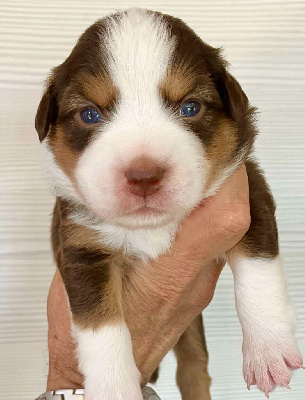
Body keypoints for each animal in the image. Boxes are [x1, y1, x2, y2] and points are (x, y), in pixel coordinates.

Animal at [35, 8, 302, 400]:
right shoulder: (81, 247)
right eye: (89, 115)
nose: (144, 175)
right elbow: (102, 325)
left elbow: (258, 269)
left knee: (194, 365)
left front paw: (268, 350)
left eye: (190, 107)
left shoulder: (249, 192)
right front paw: (114, 389)